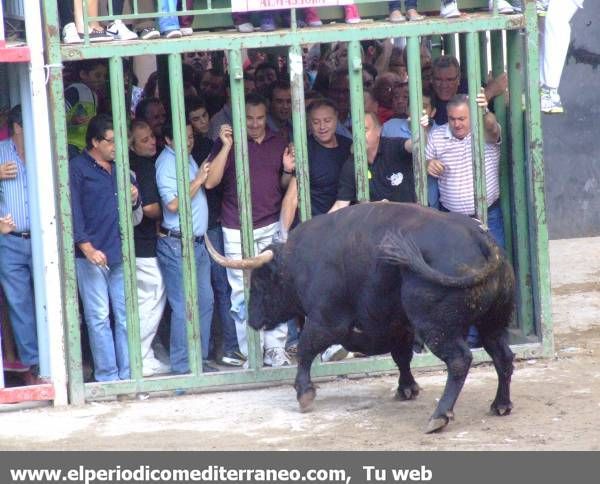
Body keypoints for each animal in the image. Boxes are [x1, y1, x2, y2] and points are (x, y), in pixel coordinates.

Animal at [206, 202, 516, 432]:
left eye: (259, 282)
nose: (252, 319)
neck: (298, 262)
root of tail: (482, 240)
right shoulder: (398, 326)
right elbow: (401, 357)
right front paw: (407, 388)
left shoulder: (325, 320)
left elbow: (306, 350)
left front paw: (304, 393)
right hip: (492, 323)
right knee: (503, 356)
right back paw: (500, 405)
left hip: (436, 327)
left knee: (460, 360)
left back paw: (439, 416)